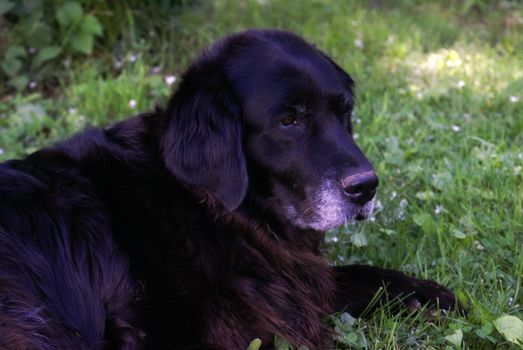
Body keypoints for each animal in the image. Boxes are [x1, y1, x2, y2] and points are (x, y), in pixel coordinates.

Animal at [0, 30, 458, 350]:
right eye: (288, 119)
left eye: (344, 111)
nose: (366, 187)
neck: (205, 203)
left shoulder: (283, 283)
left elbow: (352, 276)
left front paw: (429, 296)